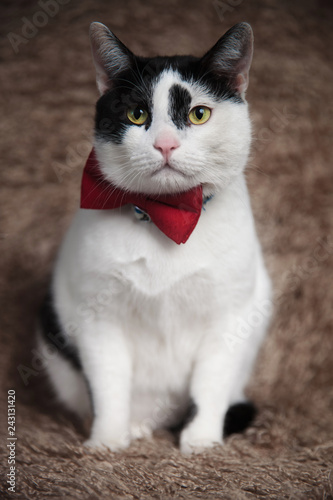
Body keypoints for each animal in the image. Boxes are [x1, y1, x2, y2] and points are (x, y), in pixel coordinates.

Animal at [39, 21, 272, 456]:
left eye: (199, 114)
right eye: (137, 114)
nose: (165, 143)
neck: (166, 215)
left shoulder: (230, 315)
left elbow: (210, 384)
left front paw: (201, 441)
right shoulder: (96, 317)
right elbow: (109, 385)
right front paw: (106, 442)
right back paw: (135, 429)